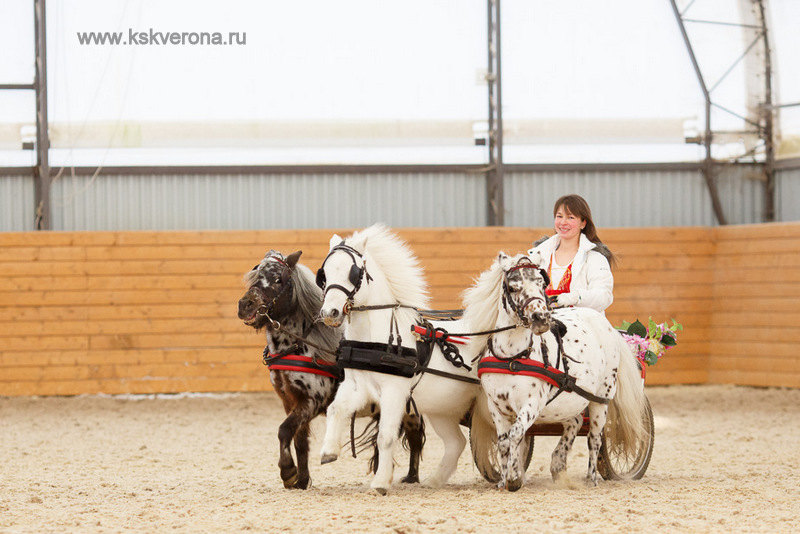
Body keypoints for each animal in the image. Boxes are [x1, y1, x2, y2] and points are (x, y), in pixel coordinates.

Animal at [316, 224, 490, 496]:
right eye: (324, 273)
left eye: (355, 273)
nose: (330, 313)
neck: (376, 337)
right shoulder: (357, 385)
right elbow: (335, 408)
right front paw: (329, 451)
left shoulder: (394, 392)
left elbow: (385, 436)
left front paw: (380, 483)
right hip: (442, 407)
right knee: (456, 442)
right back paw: (434, 481)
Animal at [462, 253, 648, 492]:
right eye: (513, 287)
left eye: (541, 284)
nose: (540, 318)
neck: (513, 357)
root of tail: (606, 325)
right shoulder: (496, 405)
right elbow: (504, 442)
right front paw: (504, 480)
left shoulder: (531, 404)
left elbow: (516, 434)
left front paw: (514, 478)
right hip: (571, 399)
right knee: (574, 423)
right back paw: (558, 464)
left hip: (601, 399)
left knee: (594, 438)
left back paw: (592, 479)